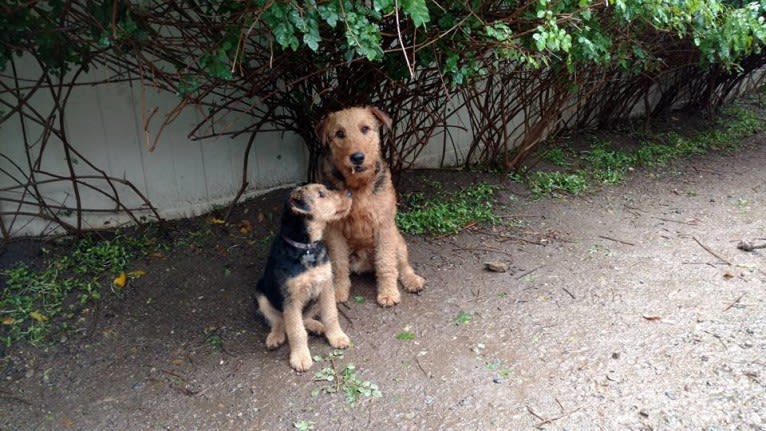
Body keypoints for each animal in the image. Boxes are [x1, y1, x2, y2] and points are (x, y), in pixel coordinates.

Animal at [256, 185, 356, 372]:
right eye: (321, 194)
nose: (349, 193)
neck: (306, 247)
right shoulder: (291, 298)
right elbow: (296, 331)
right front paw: (300, 358)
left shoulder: (326, 285)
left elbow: (331, 315)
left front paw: (337, 337)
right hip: (261, 294)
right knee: (279, 320)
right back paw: (275, 337)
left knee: (304, 318)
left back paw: (317, 326)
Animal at [316, 105, 426, 308]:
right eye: (339, 133)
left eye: (365, 128)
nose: (357, 157)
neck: (358, 186)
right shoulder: (334, 231)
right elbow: (339, 264)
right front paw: (338, 292)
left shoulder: (384, 226)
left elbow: (386, 263)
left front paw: (388, 294)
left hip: (397, 240)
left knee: (402, 265)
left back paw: (413, 281)